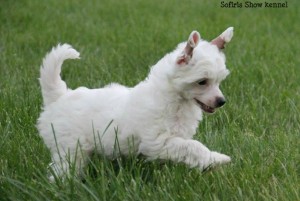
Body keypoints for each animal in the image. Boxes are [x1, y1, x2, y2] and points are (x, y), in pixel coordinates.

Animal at [37, 27, 234, 180]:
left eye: (219, 81)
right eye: (202, 82)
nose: (221, 101)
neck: (174, 99)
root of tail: (59, 96)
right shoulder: (157, 142)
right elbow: (193, 146)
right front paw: (216, 159)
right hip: (69, 147)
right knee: (62, 170)